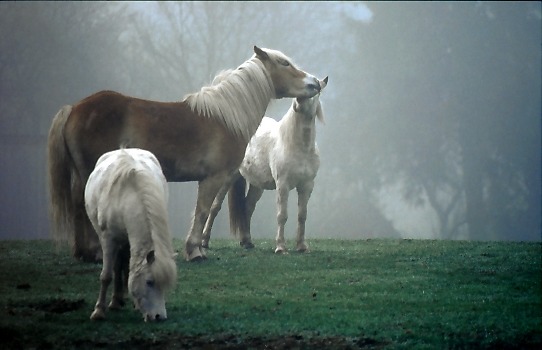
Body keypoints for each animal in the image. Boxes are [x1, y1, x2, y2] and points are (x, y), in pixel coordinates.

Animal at [85, 148, 177, 322]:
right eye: (149, 282)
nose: (159, 316)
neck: (128, 195)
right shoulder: (108, 239)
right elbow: (106, 275)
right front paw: (98, 311)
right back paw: (115, 301)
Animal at [203, 76, 328, 253]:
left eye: (317, 90)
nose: (298, 103)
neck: (297, 146)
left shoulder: (307, 185)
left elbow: (302, 215)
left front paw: (302, 246)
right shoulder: (283, 185)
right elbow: (282, 215)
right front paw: (281, 247)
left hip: (257, 185)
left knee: (247, 207)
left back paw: (247, 241)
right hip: (228, 178)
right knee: (214, 207)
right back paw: (204, 241)